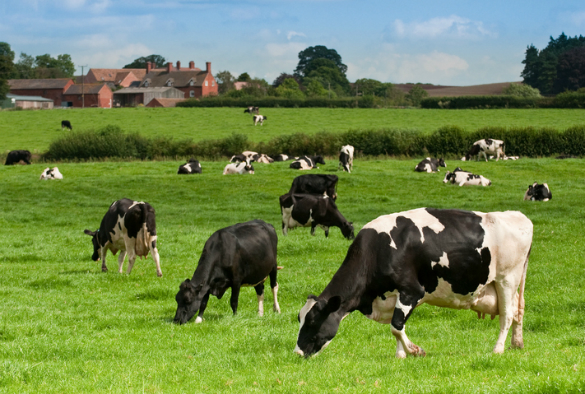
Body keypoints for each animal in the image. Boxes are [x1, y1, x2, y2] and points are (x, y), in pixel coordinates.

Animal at [294, 208, 532, 358]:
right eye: (300, 318)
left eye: (313, 321)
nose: (297, 352)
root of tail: (518, 216)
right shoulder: (395, 296)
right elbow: (398, 325)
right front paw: (401, 354)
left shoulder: (412, 290)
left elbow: (396, 326)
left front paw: (415, 351)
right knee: (518, 312)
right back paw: (517, 344)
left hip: (506, 280)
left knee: (507, 315)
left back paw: (498, 349)